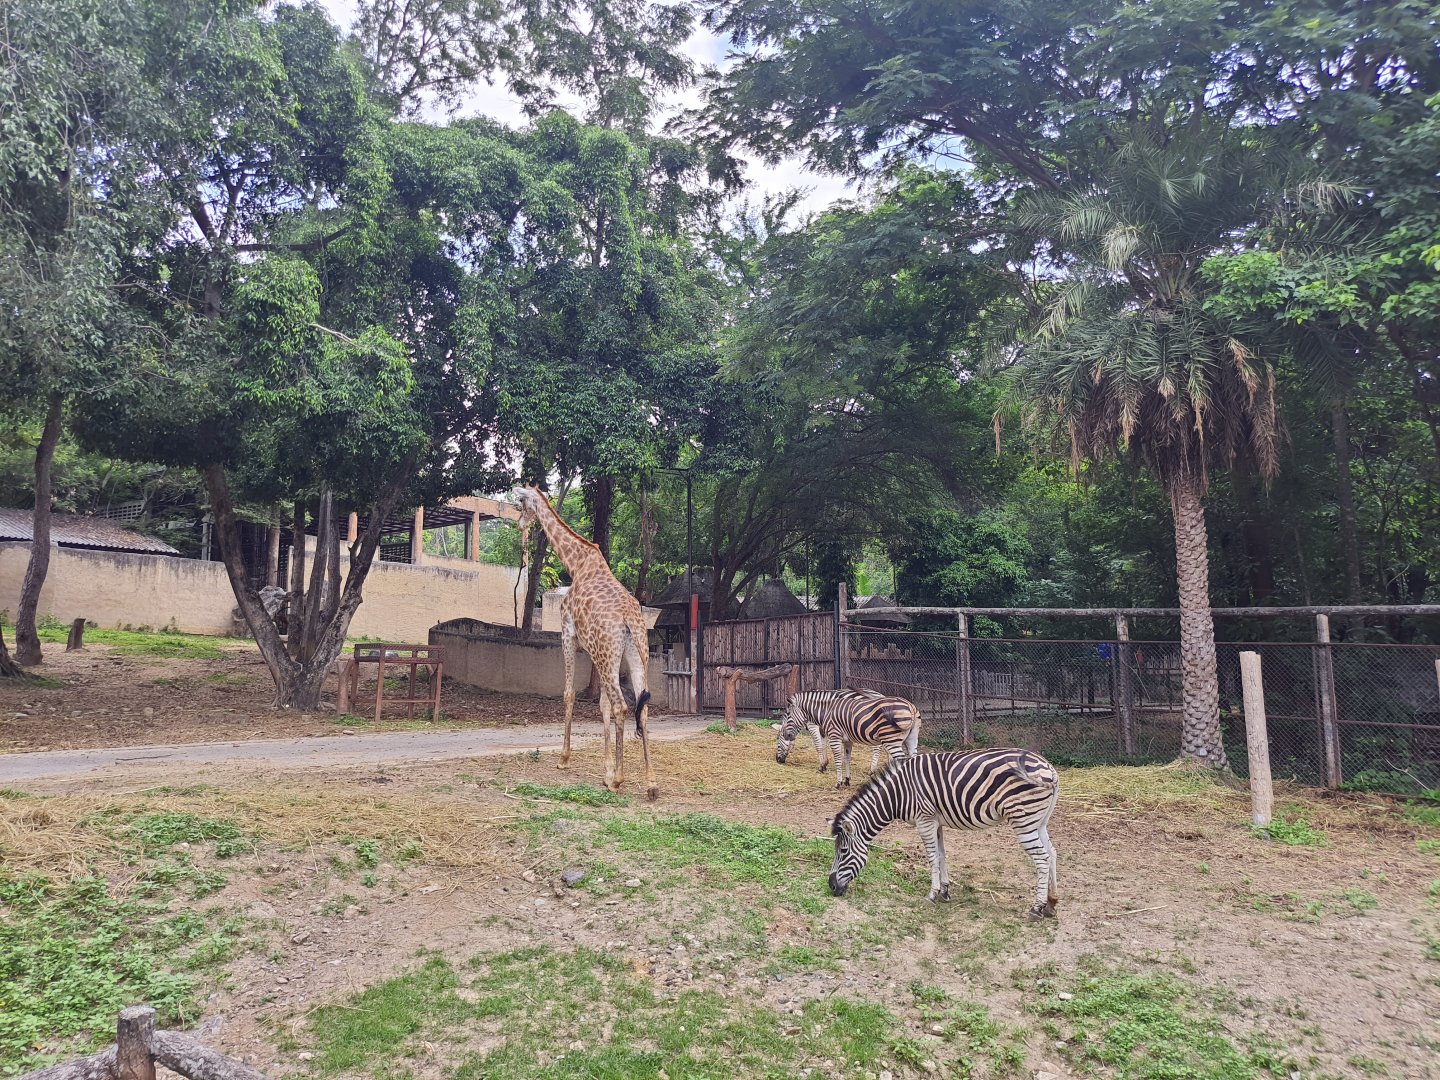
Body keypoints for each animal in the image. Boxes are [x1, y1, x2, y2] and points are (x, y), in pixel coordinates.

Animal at [513, 485, 658, 800]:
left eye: (521, 502)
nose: (519, 524)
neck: (576, 563)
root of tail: (630, 621)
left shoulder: (568, 634)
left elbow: (569, 693)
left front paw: (565, 759)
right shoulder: (593, 651)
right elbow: (601, 705)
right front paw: (606, 771)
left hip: (609, 656)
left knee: (622, 706)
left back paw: (620, 781)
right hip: (635, 655)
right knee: (642, 708)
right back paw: (651, 783)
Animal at [774, 688, 921, 787]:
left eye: (778, 741)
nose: (778, 760)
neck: (823, 711)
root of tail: (911, 707)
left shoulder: (820, 729)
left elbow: (823, 748)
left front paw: (829, 773)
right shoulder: (841, 737)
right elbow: (845, 758)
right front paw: (844, 778)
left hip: (886, 736)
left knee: (890, 753)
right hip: (909, 739)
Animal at [827, 749, 1060, 918]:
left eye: (843, 851)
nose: (831, 886)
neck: (899, 794)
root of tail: (1050, 768)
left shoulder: (924, 821)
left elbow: (932, 858)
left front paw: (932, 894)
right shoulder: (936, 821)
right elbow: (942, 855)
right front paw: (945, 891)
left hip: (1023, 820)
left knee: (1042, 859)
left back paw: (1037, 908)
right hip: (1039, 822)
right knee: (1052, 854)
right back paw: (1051, 904)